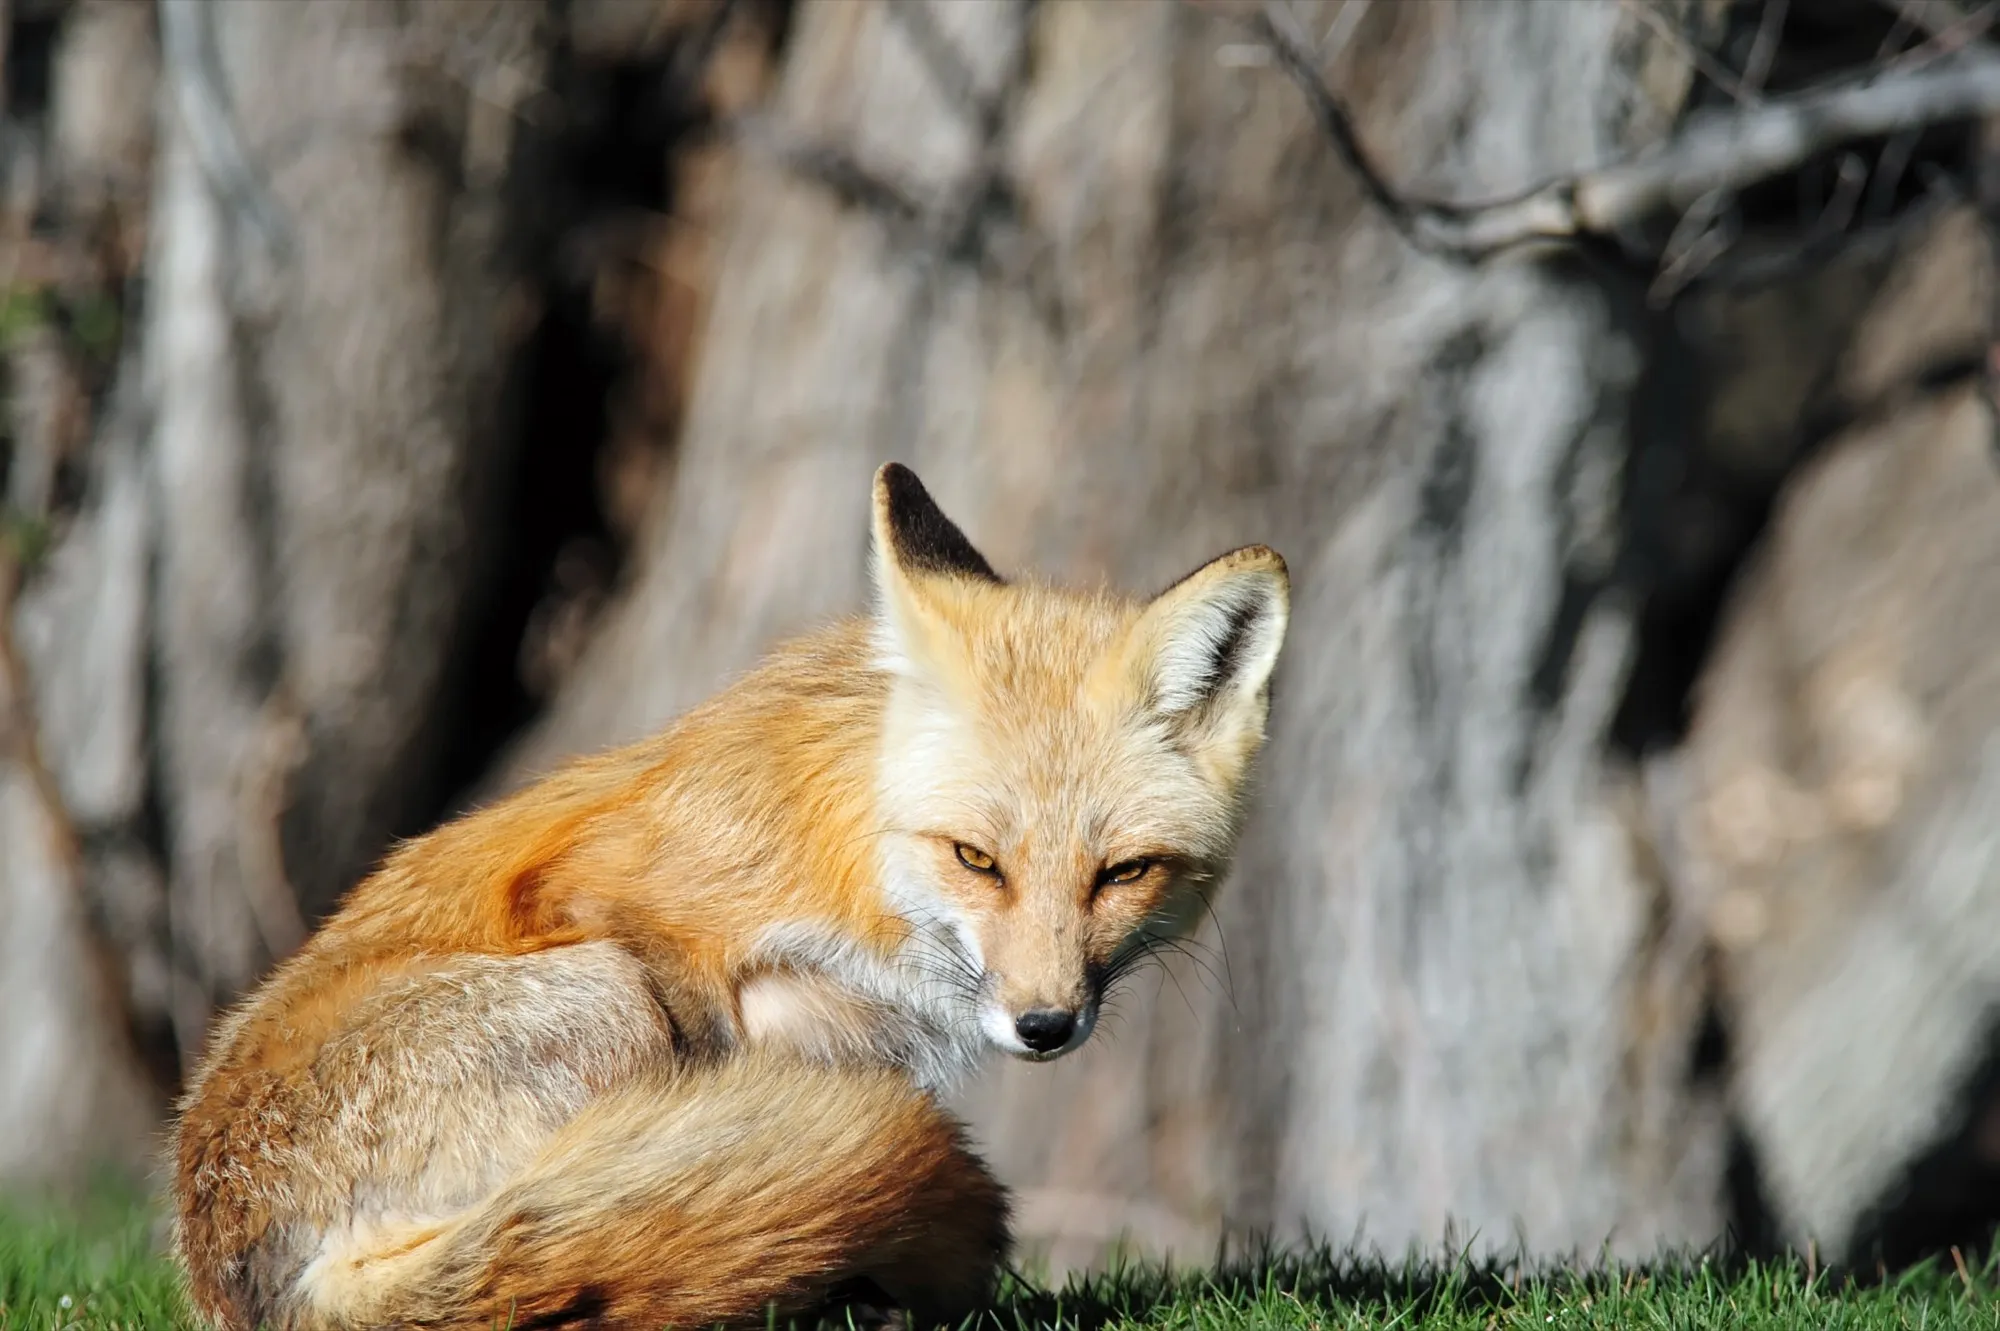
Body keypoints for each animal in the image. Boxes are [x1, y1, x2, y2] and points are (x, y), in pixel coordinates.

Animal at [172, 463, 1290, 1331]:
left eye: (1121, 872)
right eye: (977, 858)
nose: (1045, 1024)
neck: (858, 877)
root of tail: (248, 1277)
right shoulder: (631, 908)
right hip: (606, 994)